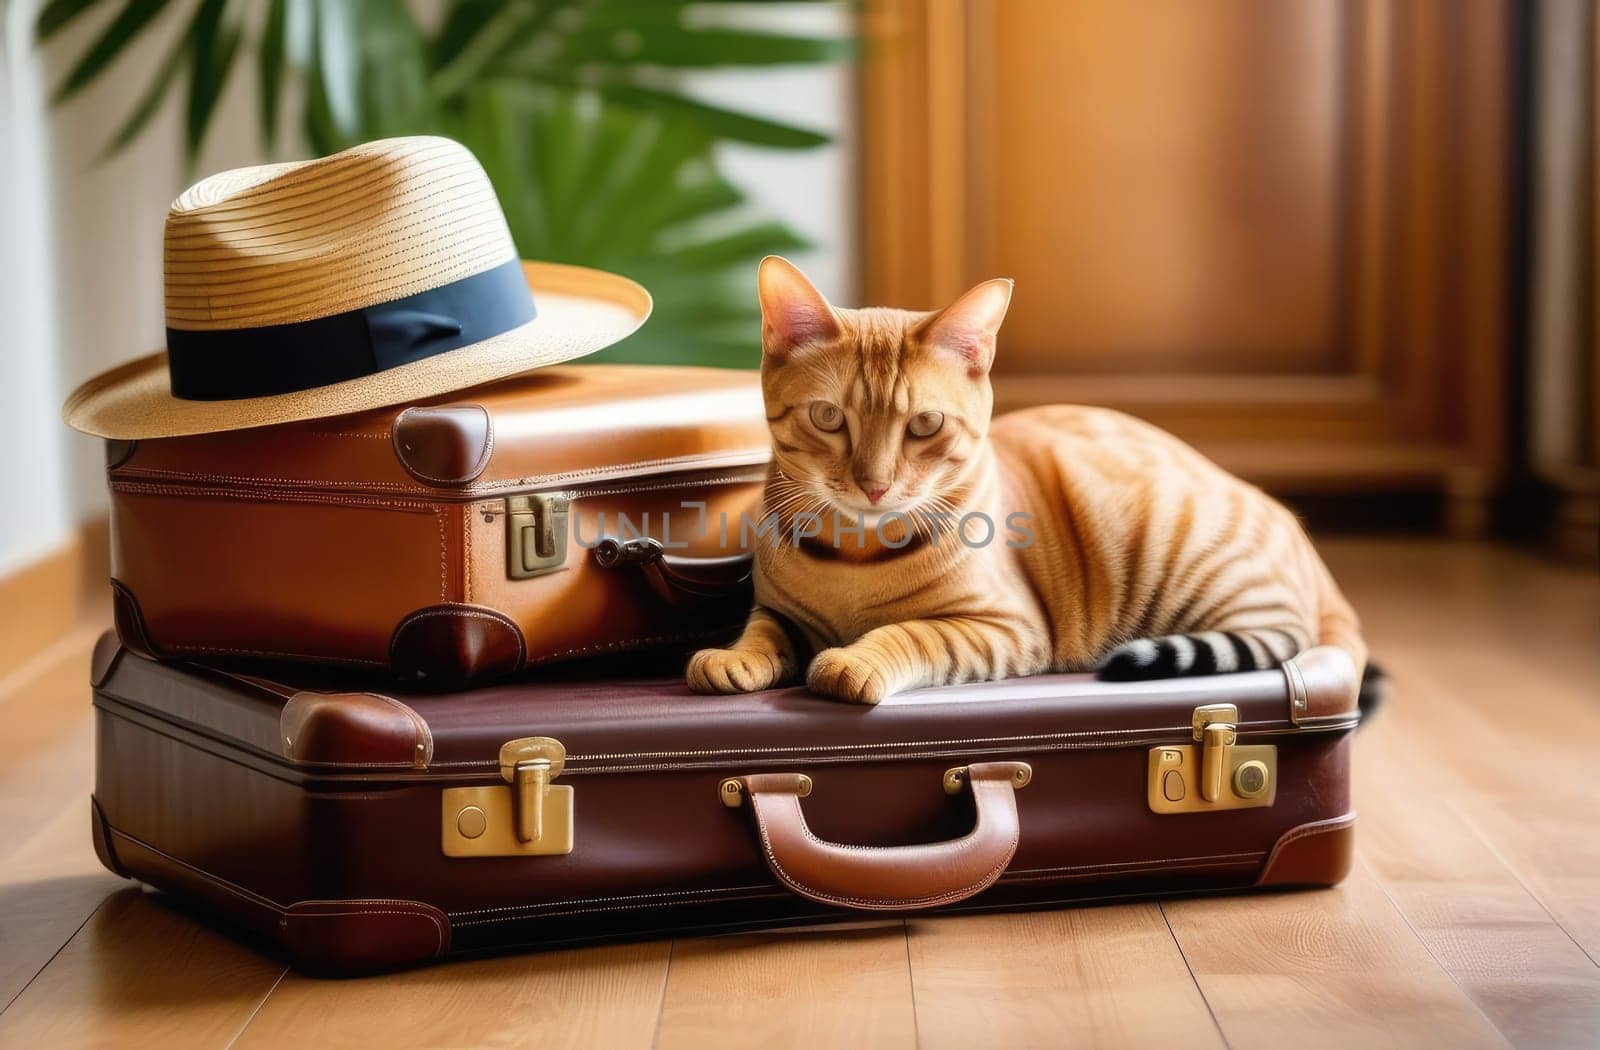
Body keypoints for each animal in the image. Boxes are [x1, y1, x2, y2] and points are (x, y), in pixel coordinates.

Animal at [684, 254, 1363, 701]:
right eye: (829, 418)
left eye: (924, 424)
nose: (874, 485)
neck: (855, 557)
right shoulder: (778, 610)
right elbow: (763, 630)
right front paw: (735, 657)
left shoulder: (1000, 627)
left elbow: (910, 634)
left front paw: (853, 660)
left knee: (1282, 632)